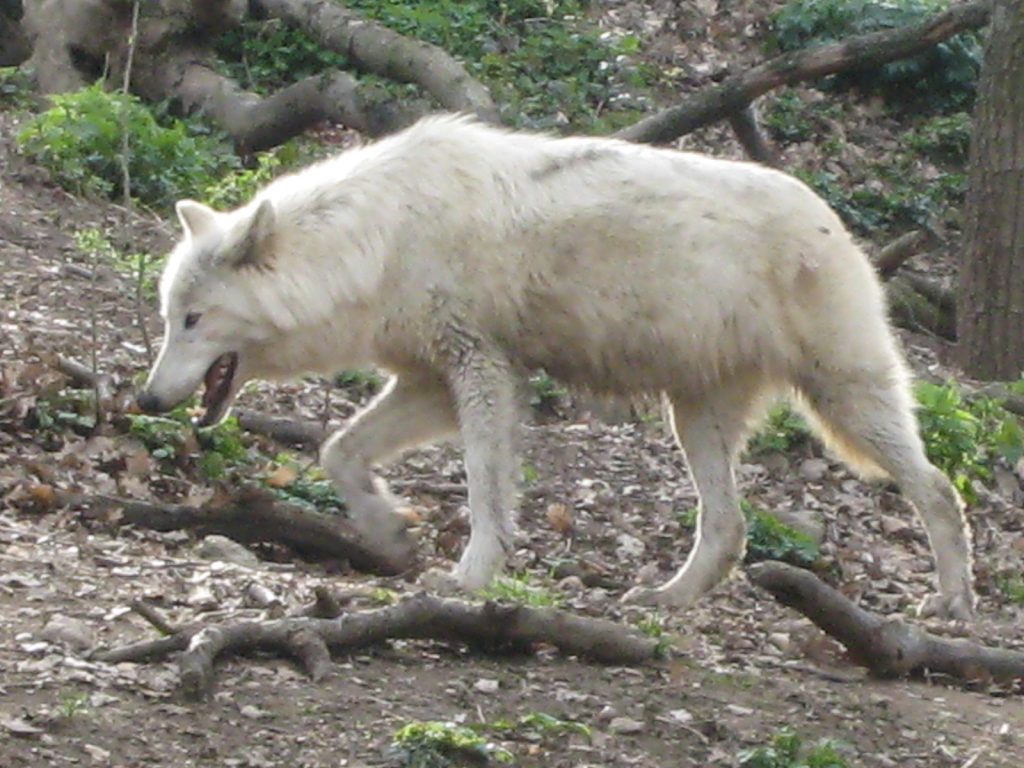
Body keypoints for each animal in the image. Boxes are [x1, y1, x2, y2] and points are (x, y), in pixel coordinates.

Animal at [136, 115, 974, 618]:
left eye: (193, 320)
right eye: (168, 317)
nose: (146, 402)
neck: (377, 243)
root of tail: (836, 220)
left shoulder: (479, 370)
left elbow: (483, 490)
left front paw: (469, 578)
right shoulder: (432, 382)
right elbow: (338, 451)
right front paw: (390, 532)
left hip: (843, 401)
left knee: (937, 489)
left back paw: (953, 607)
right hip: (694, 416)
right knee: (730, 527)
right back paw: (666, 600)